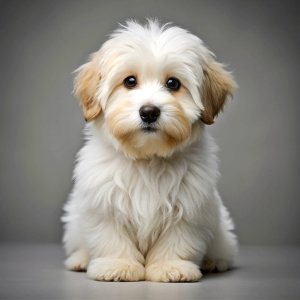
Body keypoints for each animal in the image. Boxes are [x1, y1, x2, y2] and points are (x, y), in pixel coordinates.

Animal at [62, 18, 238, 282]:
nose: (149, 112)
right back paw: (80, 260)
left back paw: (215, 262)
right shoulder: (105, 203)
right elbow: (111, 238)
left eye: (173, 83)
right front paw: (118, 266)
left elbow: (177, 240)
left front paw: (170, 267)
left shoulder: (188, 207)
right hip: (74, 221)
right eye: (130, 81)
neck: (147, 157)